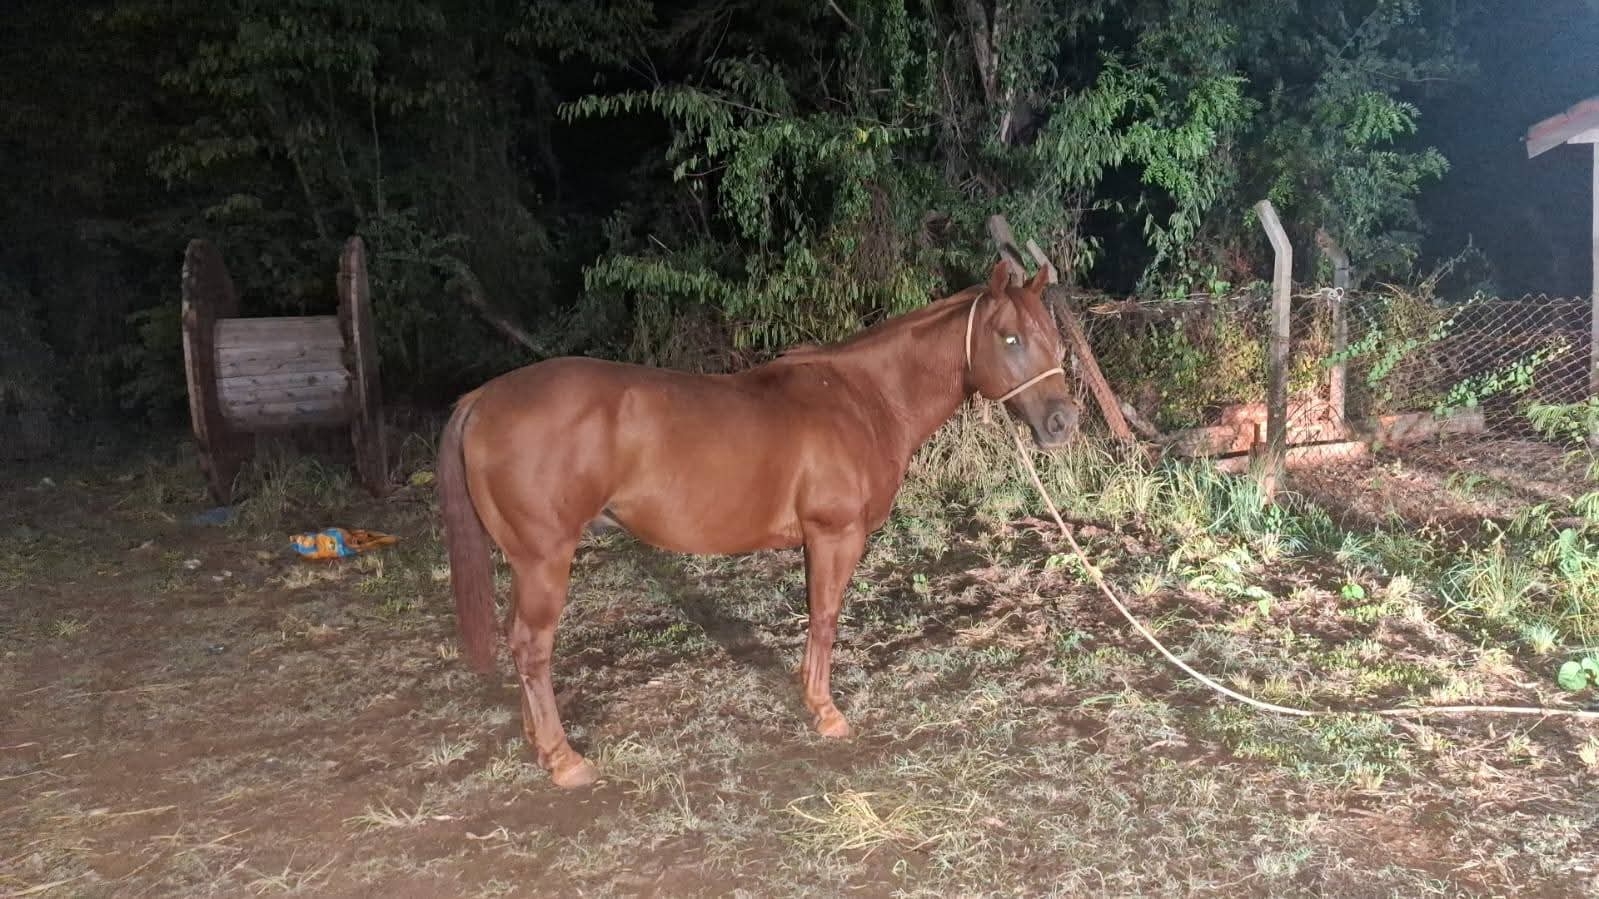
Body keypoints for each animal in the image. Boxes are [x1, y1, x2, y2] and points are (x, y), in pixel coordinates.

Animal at [436, 259, 1079, 788]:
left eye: (1051, 338)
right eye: (1009, 338)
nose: (1061, 423)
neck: (862, 399)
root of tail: (481, 398)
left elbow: (814, 616)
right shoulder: (835, 534)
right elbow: (825, 618)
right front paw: (827, 713)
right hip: (545, 559)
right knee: (531, 648)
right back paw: (563, 758)